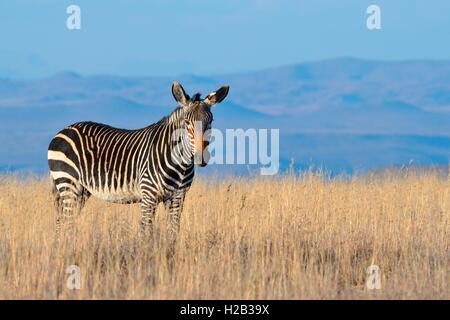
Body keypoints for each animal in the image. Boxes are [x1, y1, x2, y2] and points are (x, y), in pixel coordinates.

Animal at [48, 81, 230, 246]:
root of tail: (64, 129)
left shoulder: (178, 197)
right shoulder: (148, 196)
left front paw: (171, 254)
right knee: (66, 222)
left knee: (61, 220)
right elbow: (146, 231)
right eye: (187, 122)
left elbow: (173, 231)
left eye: (210, 121)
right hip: (68, 184)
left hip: (81, 191)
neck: (180, 165)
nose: (201, 157)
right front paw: (144, 256)